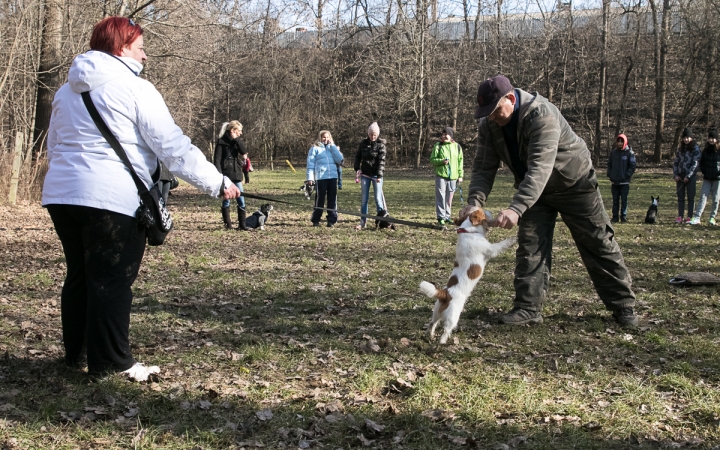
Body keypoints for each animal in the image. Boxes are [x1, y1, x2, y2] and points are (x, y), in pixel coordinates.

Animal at [420, 208, 516, 344]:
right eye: (483, 212)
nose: (489, 210)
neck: (469, 231)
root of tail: (446, 294)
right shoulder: (492, 249)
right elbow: (502, 244)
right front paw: (513, 239)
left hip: (436, 312)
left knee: (432, 323)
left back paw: (430, 335)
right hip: (453, 317)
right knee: (445, 330)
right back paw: (442, 342)